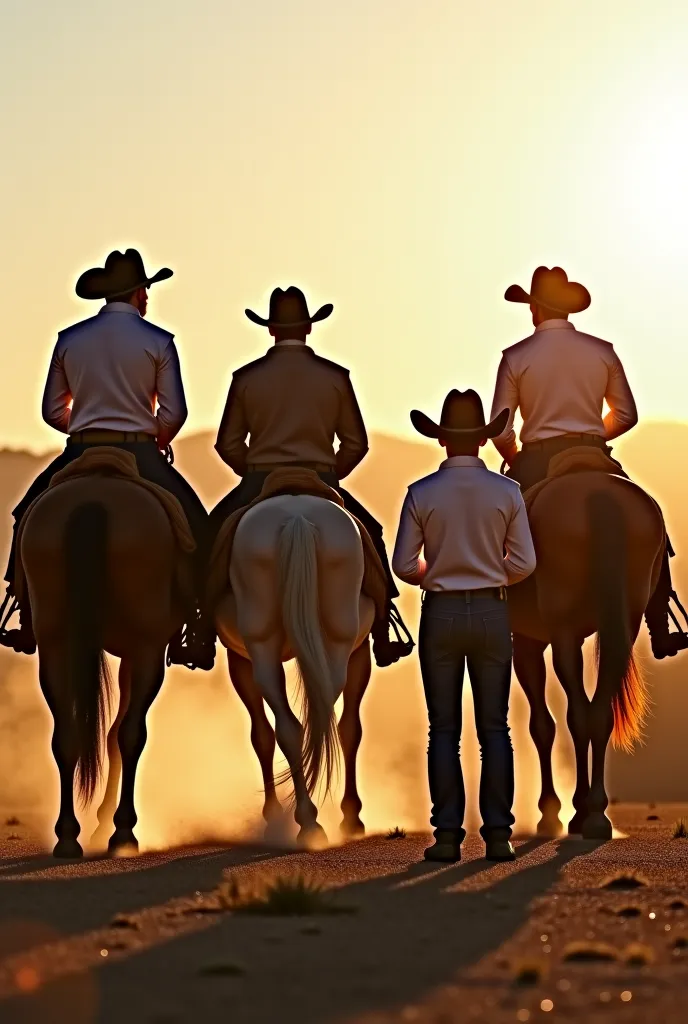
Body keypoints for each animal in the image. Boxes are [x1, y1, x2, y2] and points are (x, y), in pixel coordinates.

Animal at [20, 477, 185, 856]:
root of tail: (93, 498)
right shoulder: (139, 651)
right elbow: (119, 734)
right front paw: (109, 824)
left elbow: (107, 734)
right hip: (147, 648)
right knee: (131, 735)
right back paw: (123, 833)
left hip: (54, 642)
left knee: (66, 735)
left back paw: (68, 836)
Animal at [215, 491, 376, 843]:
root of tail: (296, 517)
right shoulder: (359, 651)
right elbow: (348, 728)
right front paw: (351, 815)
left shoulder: (240, 659)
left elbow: (262, 734)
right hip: (336, 635)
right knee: (308, 721)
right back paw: (308, 820)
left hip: (264, 643)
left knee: (291, 726)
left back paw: (307, 819)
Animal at [507, 471, 663, 839]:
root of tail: (600, 494)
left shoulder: (527, 643)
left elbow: (542, 725)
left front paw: (550, 812)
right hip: (625, 618)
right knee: (598, 712)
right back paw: (594, 813)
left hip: (562, 628)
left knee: (576, 715)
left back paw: (581, 814)